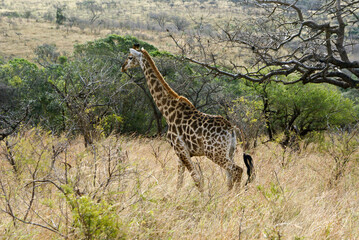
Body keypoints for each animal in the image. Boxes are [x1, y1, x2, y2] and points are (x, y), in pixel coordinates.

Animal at [122, 44, 255, 191]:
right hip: (229, 152)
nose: (123, 67)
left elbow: (196, 178)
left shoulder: (180, 149)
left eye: (130, 57)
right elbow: (180, 181)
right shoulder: (180, 152)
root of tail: (231, 129)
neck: (168, 112)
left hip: (214, 153)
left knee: (238, 170)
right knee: (230, 177)